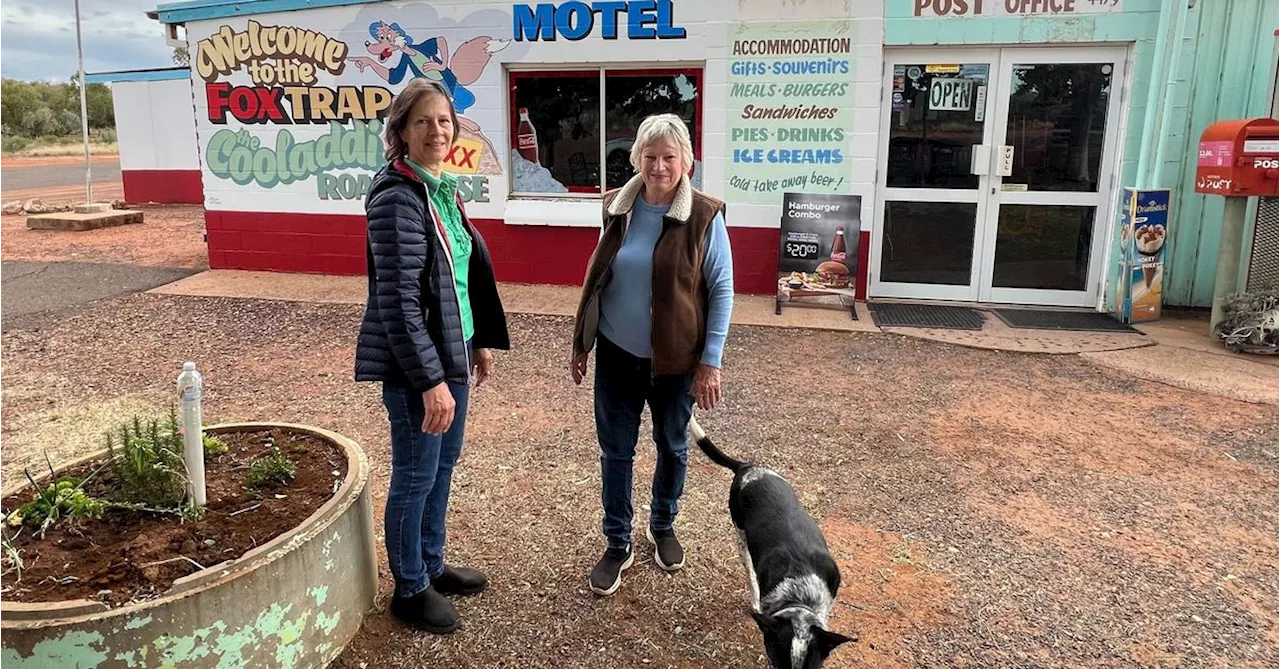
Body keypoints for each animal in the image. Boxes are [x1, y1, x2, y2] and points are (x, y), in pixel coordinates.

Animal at [686, 419, 855, 669]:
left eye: (812, 668)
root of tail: (747, 467)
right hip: (741, 537)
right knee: (750, 572)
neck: (801, 593)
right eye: (776, 664)